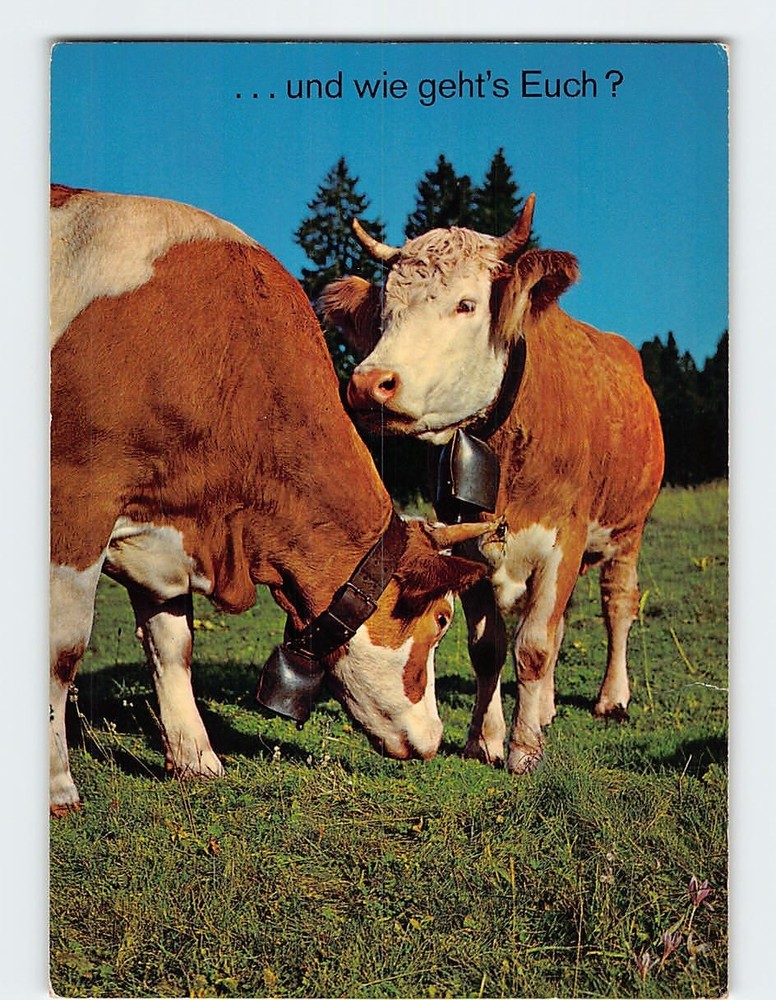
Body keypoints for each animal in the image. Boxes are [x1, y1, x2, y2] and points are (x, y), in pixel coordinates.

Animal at [49, 184, 490, 815]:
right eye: (443, 617)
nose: (433, 740)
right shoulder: (79, 497)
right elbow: (62, 651)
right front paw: (58, 786)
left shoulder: (165, 531)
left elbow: (173, 644)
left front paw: (197, 760)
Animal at [320, 194, 665, 774]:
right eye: (385, 313)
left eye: (466, 305)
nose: (368, 384)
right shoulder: (469, 543)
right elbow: (492, 648)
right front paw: (486, 741)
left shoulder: (565, 536)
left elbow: (534, 647)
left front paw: (523, 750)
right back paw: (545, 709)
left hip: (628, 530)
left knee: (616, 605)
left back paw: (611, 699)